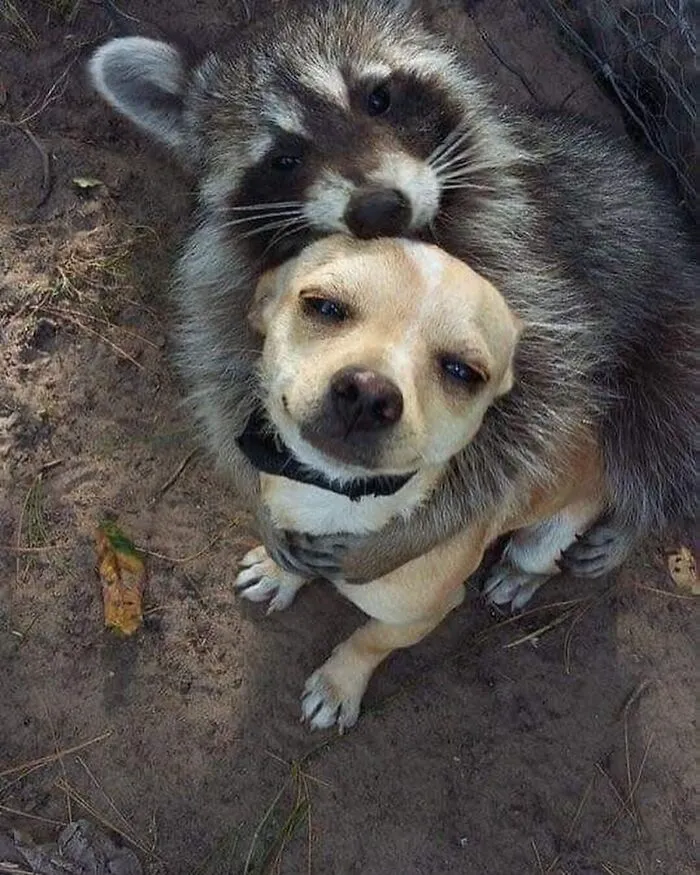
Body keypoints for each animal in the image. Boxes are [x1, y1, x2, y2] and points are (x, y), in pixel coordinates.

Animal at [89, 0, 697, 605]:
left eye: (377, 98)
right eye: (284, 158)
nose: (378, 207)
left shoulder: (526, 263)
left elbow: (531, 419)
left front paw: (416, 532)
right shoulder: (228, 274)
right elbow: (223, 374)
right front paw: (261, 502)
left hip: (671, 328)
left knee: (660, 428)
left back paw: (629, 521)